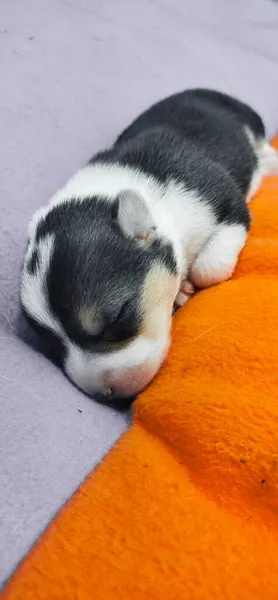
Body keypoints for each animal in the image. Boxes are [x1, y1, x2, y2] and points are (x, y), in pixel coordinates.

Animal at [20, 88, 278, 404]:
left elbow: (209, 269)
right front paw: (181, 291)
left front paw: (190, 283)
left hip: (252, 127)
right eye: (52, 344)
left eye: (118, 318)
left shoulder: (223, 200)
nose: (103, 394)